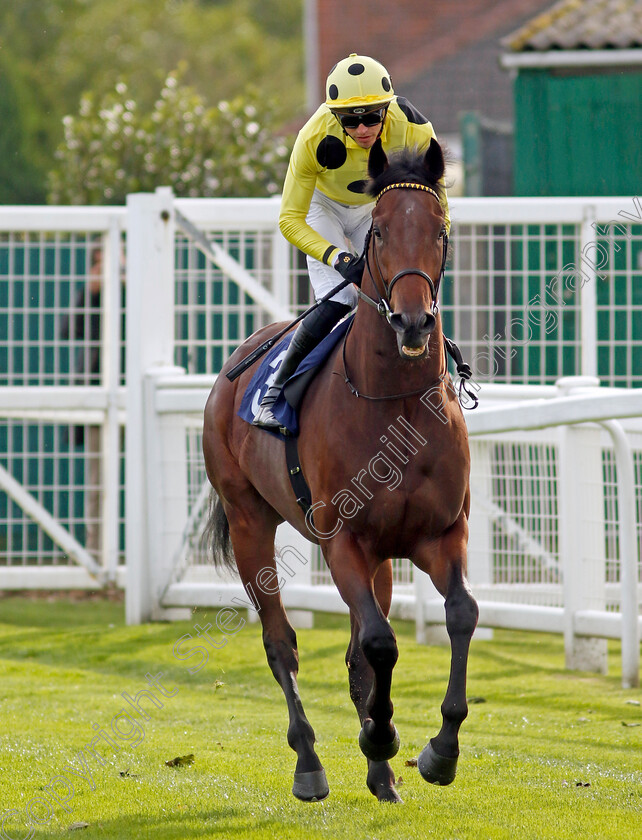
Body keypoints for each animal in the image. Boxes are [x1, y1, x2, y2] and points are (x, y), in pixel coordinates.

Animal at [202, 138, 478, 800]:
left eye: (440, 228)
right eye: (378, 231)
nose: (412, 321)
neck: (395, 402)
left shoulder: (439, 534)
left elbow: (457, 616)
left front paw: (438, 752)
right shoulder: (344, 540)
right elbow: (378, 640)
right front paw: (382, 737)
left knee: (359, 649)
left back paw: (382, 772)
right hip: (249, 522)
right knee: (281, 643)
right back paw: (309, 762)